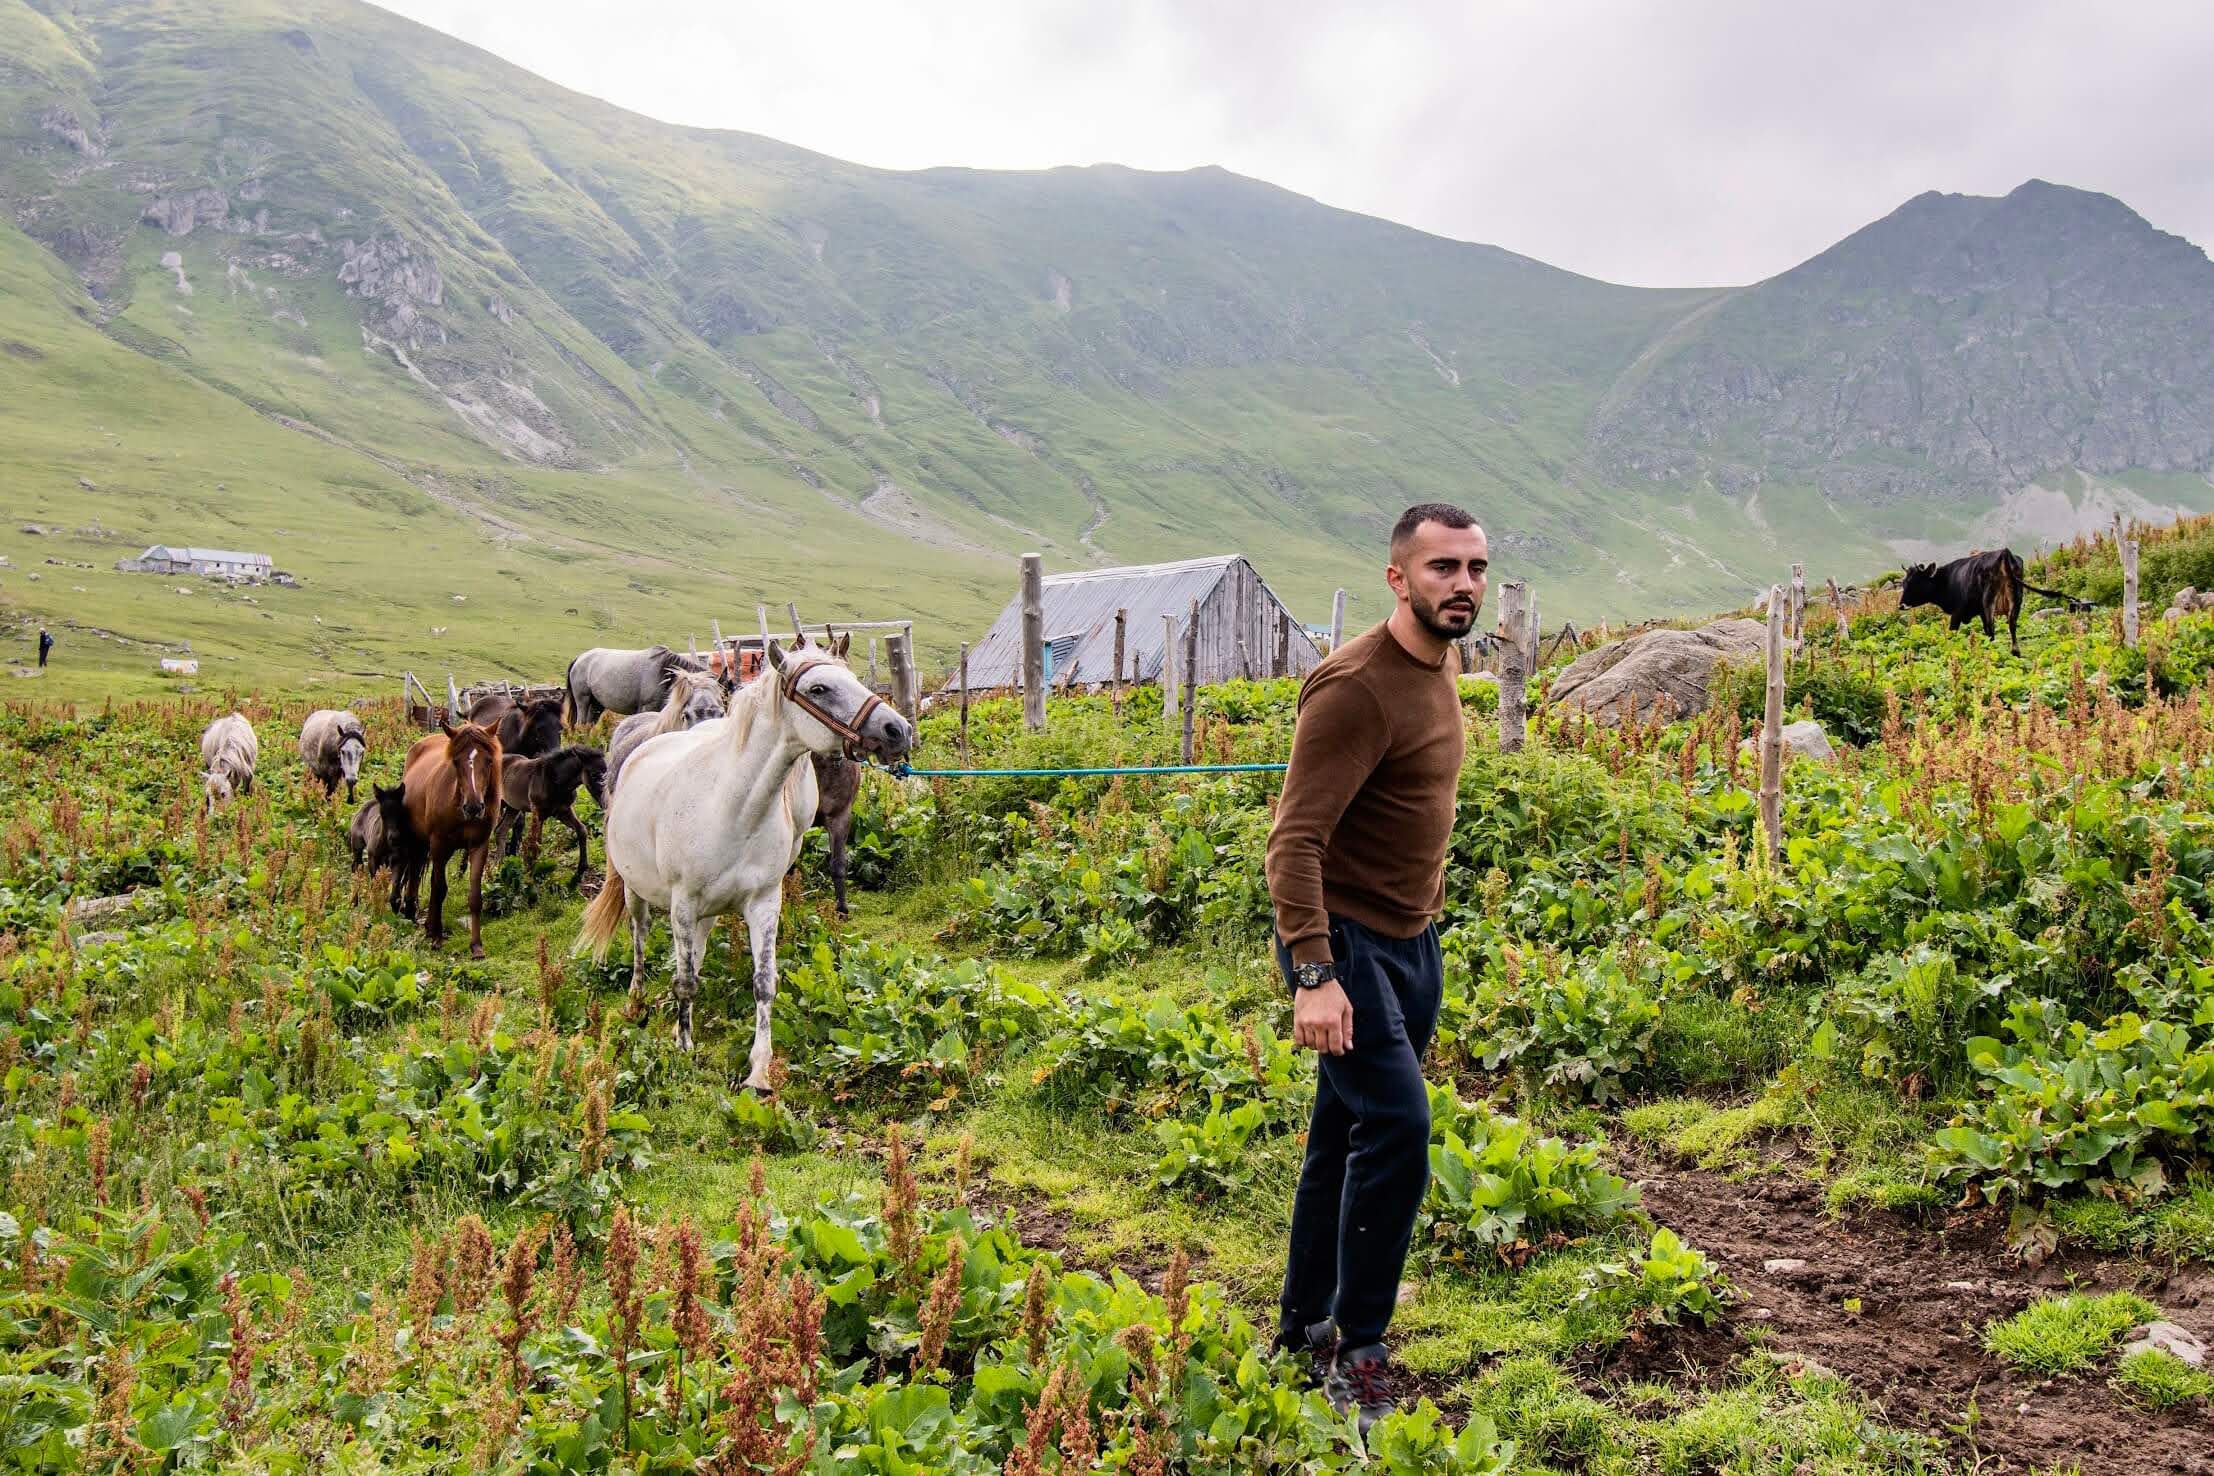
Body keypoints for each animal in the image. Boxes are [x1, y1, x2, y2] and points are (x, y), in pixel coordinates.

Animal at [400, 725, 504, 960]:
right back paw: (412, 912)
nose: (474, 807)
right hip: (420, 840)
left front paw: (476, 946)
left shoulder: (479, 846)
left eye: (488, 761)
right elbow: (439, 888)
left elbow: (474, 896)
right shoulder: (439, 844)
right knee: (415, 870)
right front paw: (437, 936)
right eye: (456, 762)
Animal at [500, 752, 606, 889]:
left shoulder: (563, 811)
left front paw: (579, 872)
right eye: (593, 774)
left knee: (500, 831)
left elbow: (582, 830)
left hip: (512, 807)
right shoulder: (538, 812)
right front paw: (531, 876)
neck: (556, 781)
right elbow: (536, 842)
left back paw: (499, 866)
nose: (604, 801)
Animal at [580, 637, 916, 1084]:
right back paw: (636, 995)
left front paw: (759, 1070)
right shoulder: (682, 903)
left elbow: (763, 982)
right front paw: (684, 1046)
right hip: (637, 890)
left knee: (697, 951)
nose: (898, 730)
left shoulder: (763, 902)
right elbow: (684, 983)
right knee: (639, 932)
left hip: (706, 912)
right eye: (819, 689)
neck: (733, 809)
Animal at [1904, 546, 2090, 655]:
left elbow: (1952, 634)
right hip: (2016, 597)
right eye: (1904, 583)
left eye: (1914, 582)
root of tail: (2004, 552)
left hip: (1989, 601)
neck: (1948, 580)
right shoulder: (1977, 612)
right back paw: (2015, 652)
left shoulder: (1957, 613)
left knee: (1992, 629)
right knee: (2011, 625)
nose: (1901, 604)